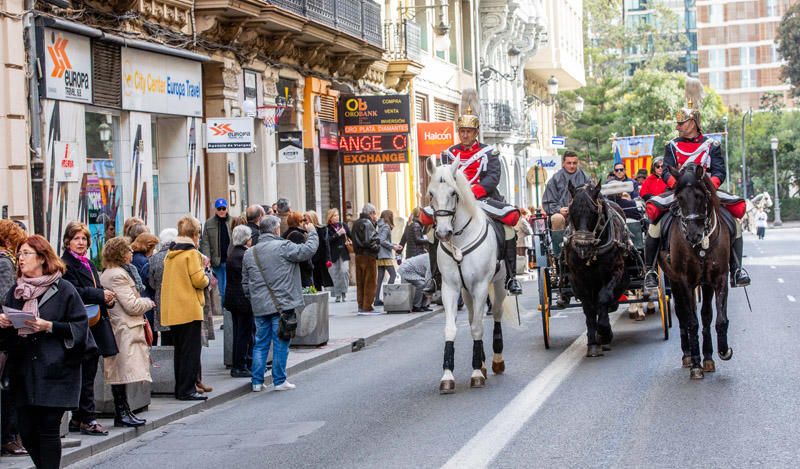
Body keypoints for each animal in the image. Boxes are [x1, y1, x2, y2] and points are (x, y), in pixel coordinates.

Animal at [428, 156, 510, 392]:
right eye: (431, 193)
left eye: (454, 193)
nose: (442, 232)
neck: (460, 239)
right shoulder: (450, 288)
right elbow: (451, 329)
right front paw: (448, 375)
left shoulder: (481, 286)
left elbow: (477, 328)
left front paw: (475, 374)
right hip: (466, 293)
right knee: (474, 315)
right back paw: (482, 363)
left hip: (499, 284)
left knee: (496, 313)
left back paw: (496, 361)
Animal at [564, 181, 636, 356]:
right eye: (571, 211)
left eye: (593, 211)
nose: (582, 246)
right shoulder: (578, 280)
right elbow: (589, 309)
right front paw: (593, 343)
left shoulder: (616, 272)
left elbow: (604, 298)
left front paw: (604, 333)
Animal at [664, 163, 732, 378]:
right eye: (679, 198)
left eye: (700, 196)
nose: (694, 235)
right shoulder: (685, 281)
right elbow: (691, 321)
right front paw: (695, 364)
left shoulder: (718, 278)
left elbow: (716, 318)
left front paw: (721, 351)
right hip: (674, 281)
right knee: (683, 314)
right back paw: (688, 356)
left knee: (704, 315)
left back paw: (707, 356)